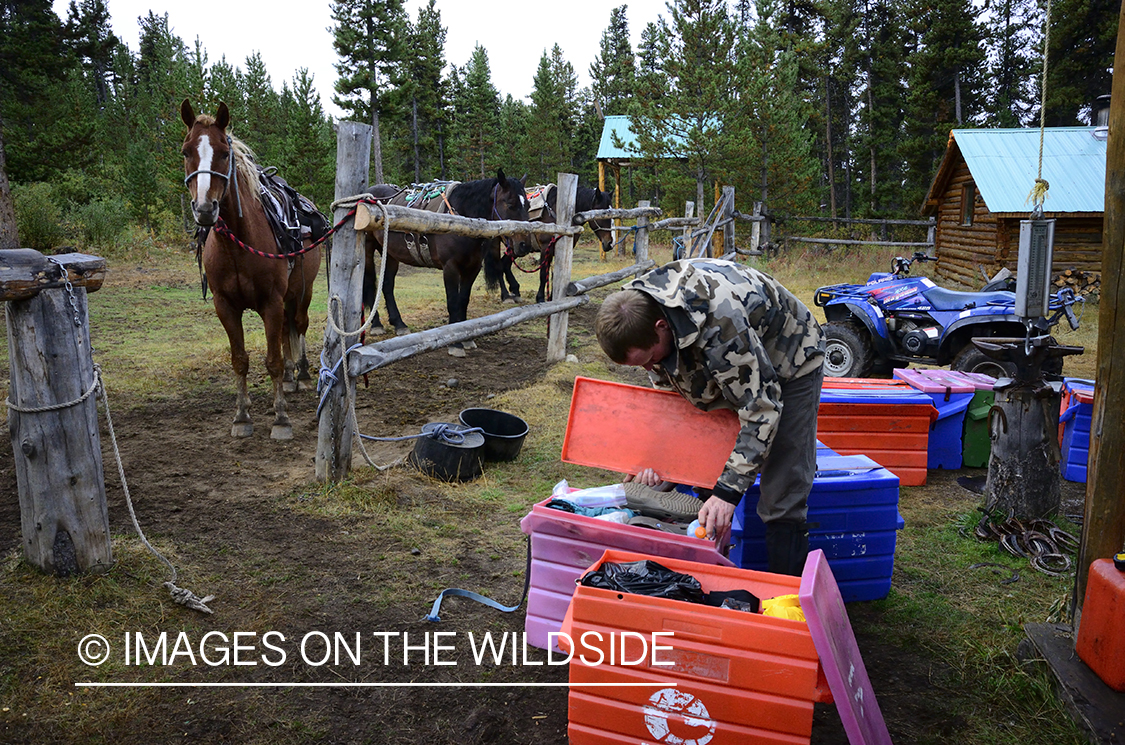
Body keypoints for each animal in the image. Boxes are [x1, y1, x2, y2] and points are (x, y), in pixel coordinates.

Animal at [180, 98, 321, 438]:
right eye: (186, 151)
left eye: (224, 153)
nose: (205, 209)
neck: (237, 246)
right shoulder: (225, 306)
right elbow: (240, 360)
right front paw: (242, 416)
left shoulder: (270, 302)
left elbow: (271, 360)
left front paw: (281, 419)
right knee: (286, 331)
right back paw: (288, 379)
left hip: (303, 291)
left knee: (299, 324)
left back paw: (302, 374)